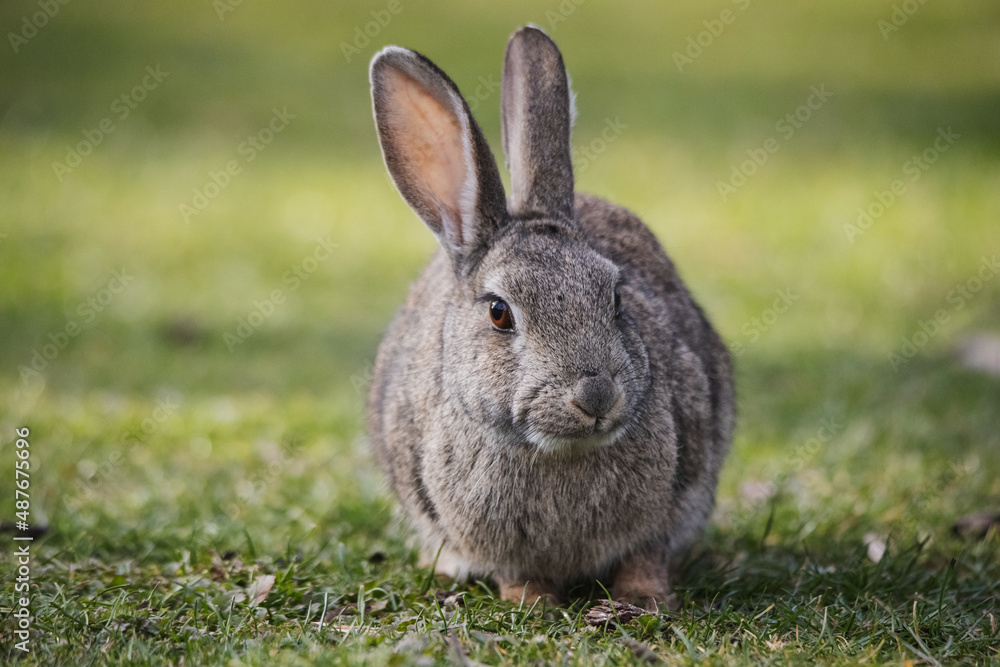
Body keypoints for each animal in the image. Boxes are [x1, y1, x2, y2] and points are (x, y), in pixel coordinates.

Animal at [366, 25, 734, 611]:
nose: (597, 396)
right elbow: (518, 573)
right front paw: (532, 602)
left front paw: (643, 599)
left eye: (617, 299)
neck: (559, 448)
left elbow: (645, 556)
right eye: (499, 314)